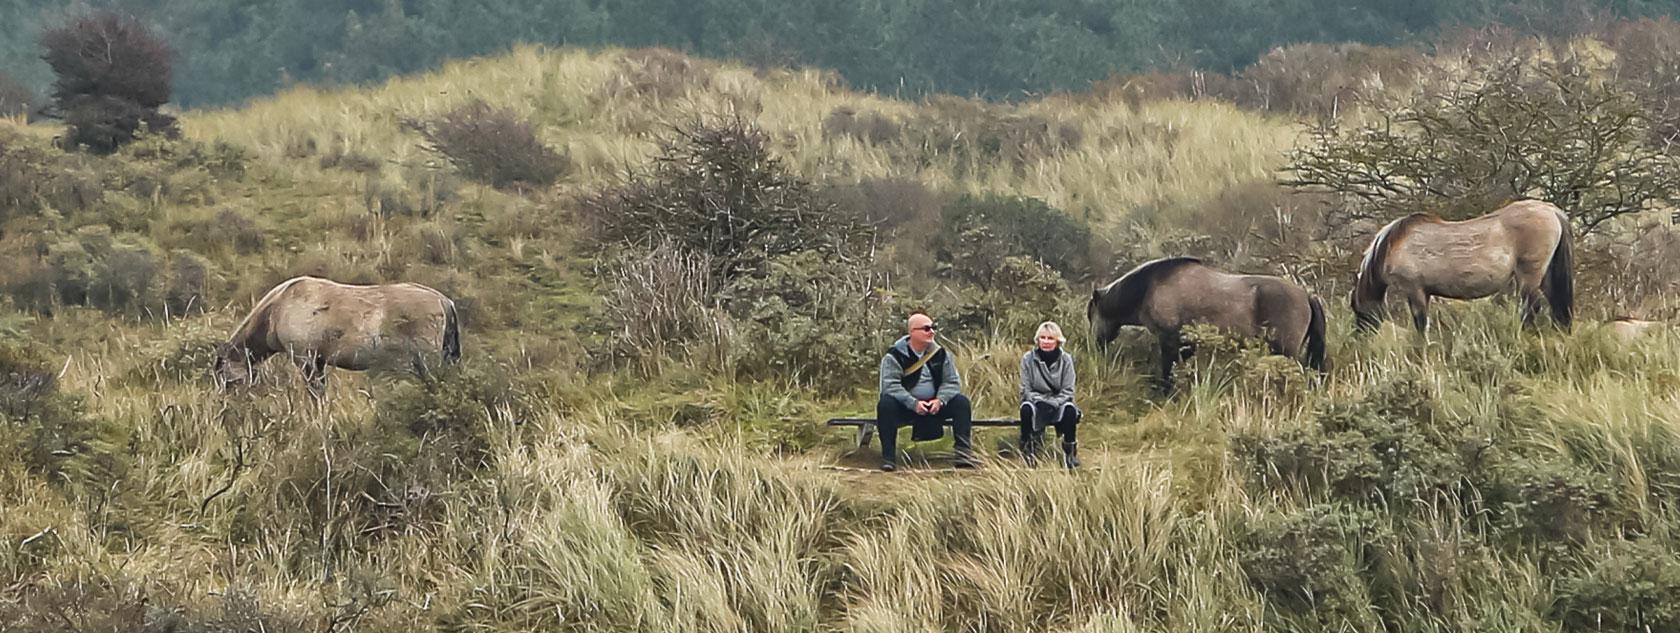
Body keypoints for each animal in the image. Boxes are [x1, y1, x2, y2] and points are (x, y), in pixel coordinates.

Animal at [1088, 256, 1323, 394]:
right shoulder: (1186, 344)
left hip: (1285, 351)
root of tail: (1306, 295)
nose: (1095, 344)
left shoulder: (1169, 340)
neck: (1149, 286)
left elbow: (1168, 370)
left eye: (1091, 315)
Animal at [1350, 198, 1572, 332]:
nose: (1361, 335)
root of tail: (1550, 210)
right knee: (1556, 304)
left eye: (1355, 307)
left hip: (1529, 275)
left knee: (1532, 307)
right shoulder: (1425, 292)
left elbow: (1421, 325)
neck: (1394, 245)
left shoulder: (1414, 290)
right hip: (1545, 275)